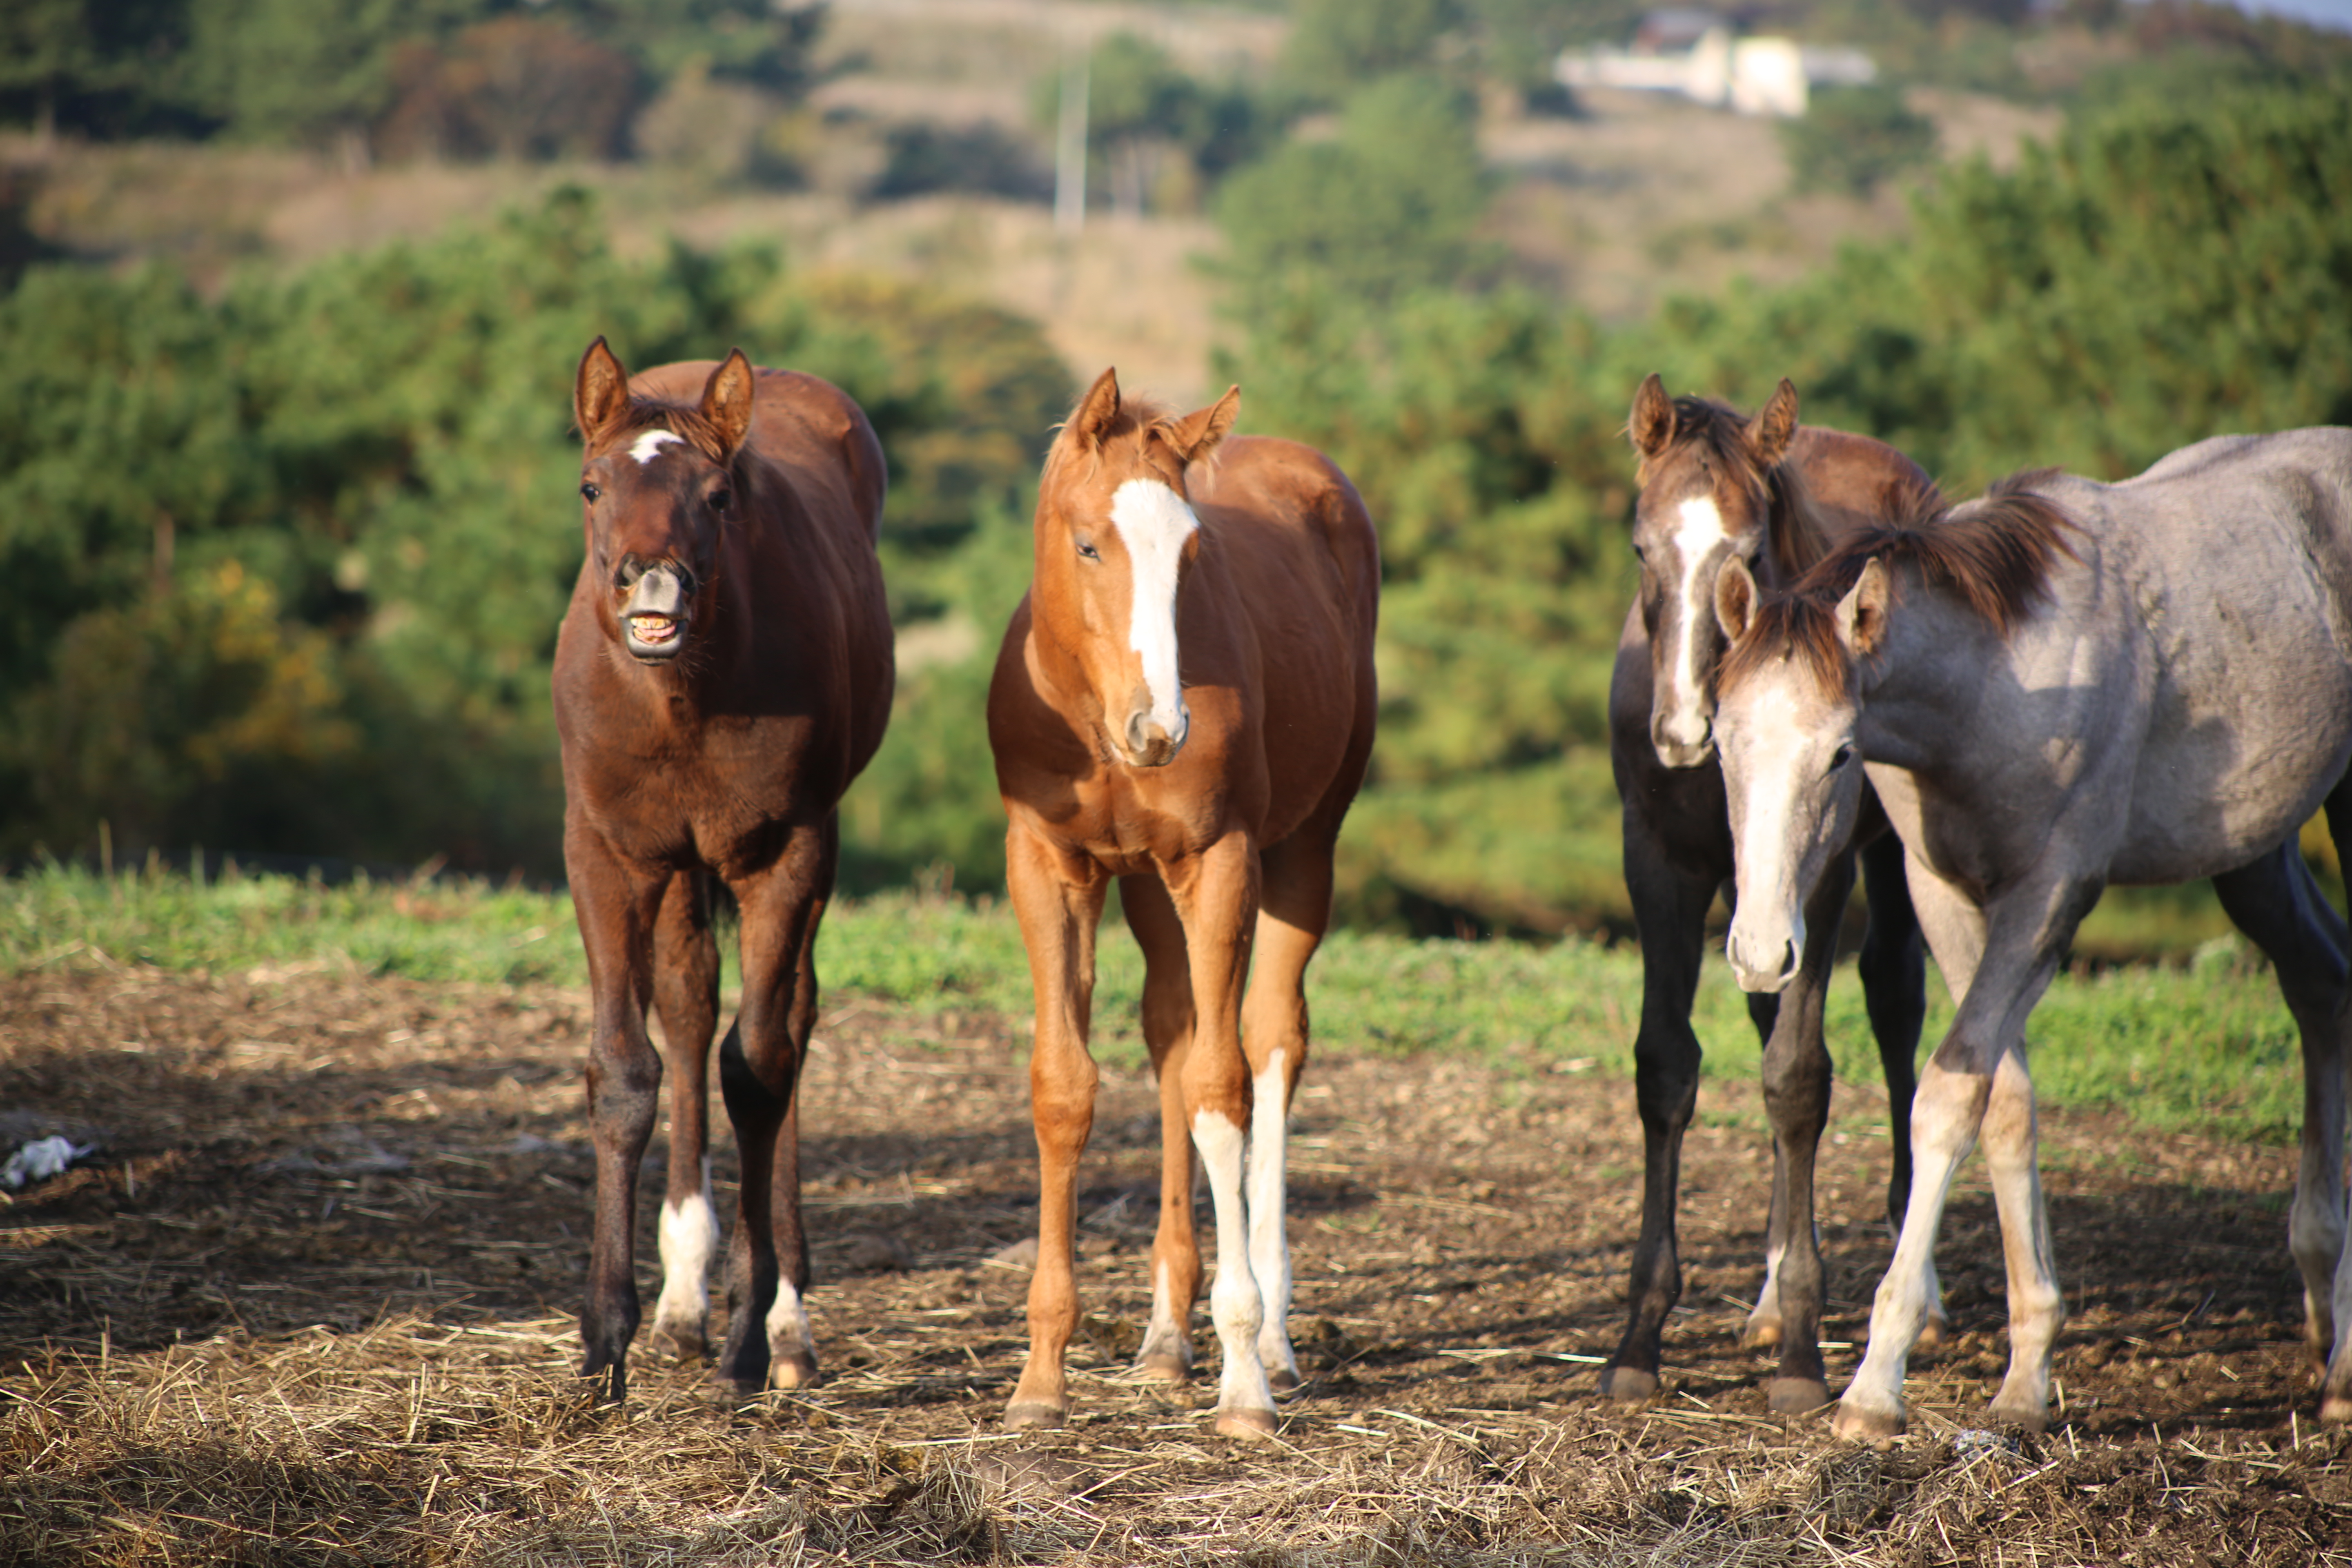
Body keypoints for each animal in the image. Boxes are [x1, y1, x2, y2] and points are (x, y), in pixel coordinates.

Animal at [978, 369, 1373, 1439]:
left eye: (1194, 554)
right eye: (1087, 544)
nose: (1158, 729)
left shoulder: (1219, 860)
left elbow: (1222, 1087)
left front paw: (1241, 1382)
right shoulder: (1048, 864)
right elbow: (1066, 1088)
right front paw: (1041, 1377)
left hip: (1303, 849)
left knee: (1269, 1041)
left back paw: (1271, 1340)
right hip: (1149, 888)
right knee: (1170, 1033)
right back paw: (1162, 1339)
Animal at [1712, 430, 2352, 1439]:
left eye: (1841, 753)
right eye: (1723, 740)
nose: (1762, 952)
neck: (1999, 683)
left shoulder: (2050, 896)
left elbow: (1945, 1099)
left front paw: (1875, 1385)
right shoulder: (1946, 897)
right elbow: (2004, 1102)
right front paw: (2025, 1378)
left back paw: (2347, 1364)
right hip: (2255, 851)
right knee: (2321, 983)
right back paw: (2326, 1323)